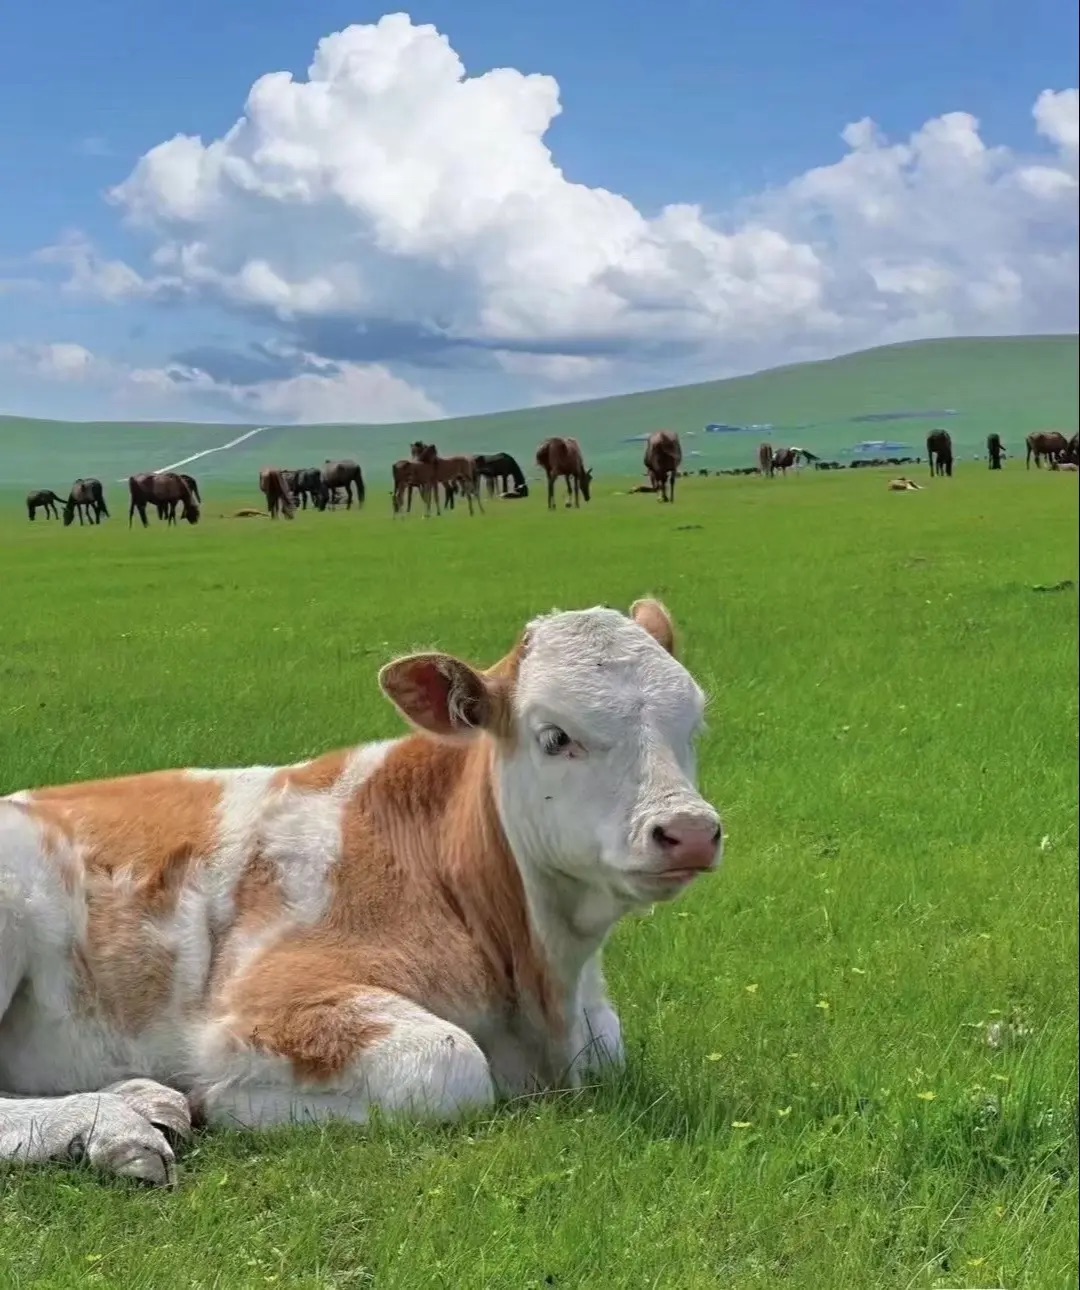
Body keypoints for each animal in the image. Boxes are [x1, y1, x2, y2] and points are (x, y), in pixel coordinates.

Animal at [0, 599, 721, 1187]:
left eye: (695, 725)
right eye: (556, 737)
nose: (689, 831)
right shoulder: (266, 1004)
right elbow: (453, 1062)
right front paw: (219, 1101)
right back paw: (113, 1126)